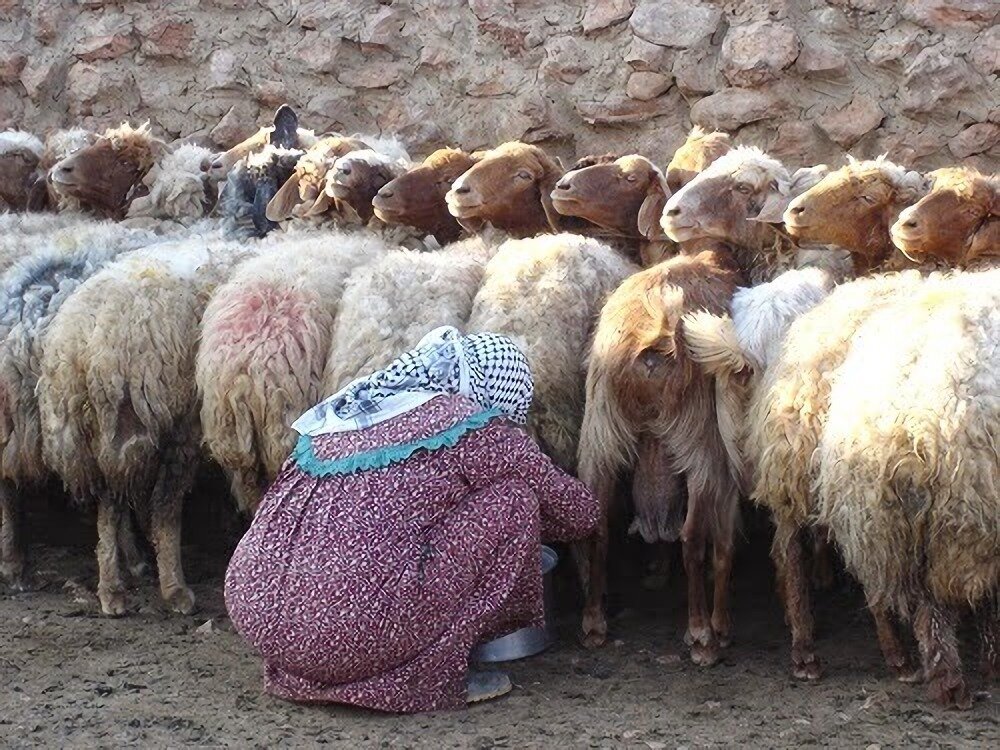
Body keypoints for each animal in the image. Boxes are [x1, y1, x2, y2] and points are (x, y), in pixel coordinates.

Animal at [576, 239, 748, 664]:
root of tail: (654, 334)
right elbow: (723, 545)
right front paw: (720, 627)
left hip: (601, 433)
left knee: (599, 526)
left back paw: (593, 623)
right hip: (701, 442)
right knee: (692, 537)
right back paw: (703, 636)